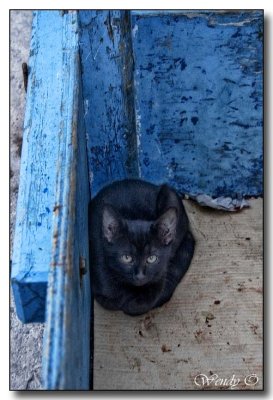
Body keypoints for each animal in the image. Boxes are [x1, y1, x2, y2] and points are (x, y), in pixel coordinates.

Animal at [88, 180, 193, 316]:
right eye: (126, 258)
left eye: (152, 258)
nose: (140, 276)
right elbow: (114, 300)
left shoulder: (160, 275)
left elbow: (145, 302)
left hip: (171, 196)